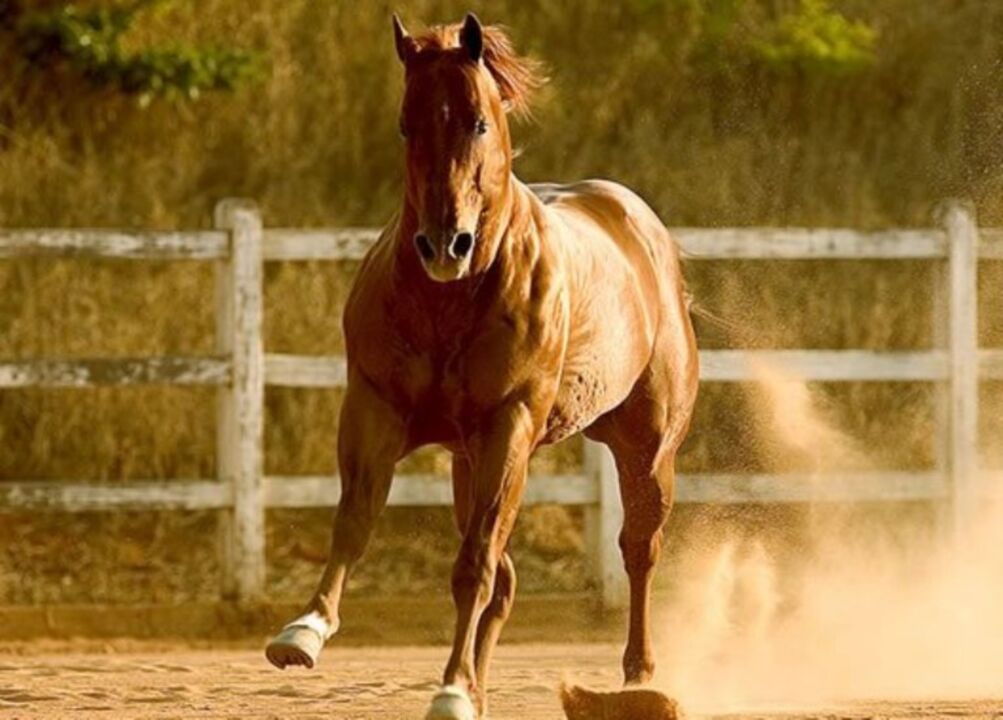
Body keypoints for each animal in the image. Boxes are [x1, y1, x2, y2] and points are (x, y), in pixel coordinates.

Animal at [264, 12, 698, 720]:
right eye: (406, 124)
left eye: (478, 123)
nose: (445, 245)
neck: (452, 300)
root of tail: (644, 231)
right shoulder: (375, 409)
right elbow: (356, 521)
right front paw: (303, 632)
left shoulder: (507, 426)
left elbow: (473, 566)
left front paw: (449, 689)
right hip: (471, 463)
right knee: (507, 579)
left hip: (645, 448)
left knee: (637, 550)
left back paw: (636, 679)